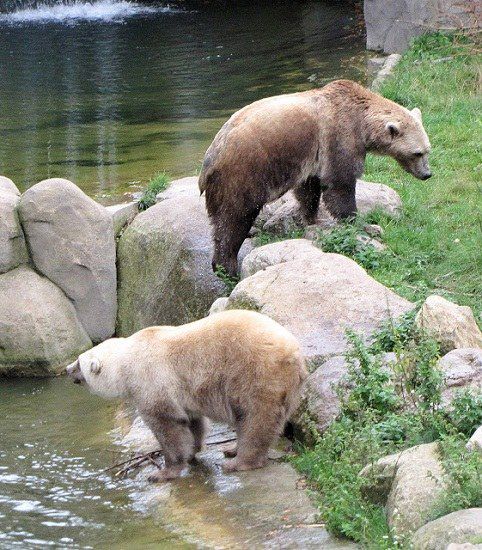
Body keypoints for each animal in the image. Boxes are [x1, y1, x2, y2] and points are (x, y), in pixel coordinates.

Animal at [66, 310, 306, 484]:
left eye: (79, 362)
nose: (67, 370)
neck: (127, 361)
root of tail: (295, 353)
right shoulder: (183, 391)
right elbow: (192, 421)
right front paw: (193, 450)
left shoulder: (151, 379)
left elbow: (167, 424)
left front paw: (161, 473)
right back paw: (232, 450)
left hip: (255, 372)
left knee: (255, 417)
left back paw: (239, 461)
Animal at [198, 78, 432, 276]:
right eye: (417, 153)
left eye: (428, 150)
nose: (427, 174)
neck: (362, 121)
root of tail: (210, 157)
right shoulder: (339, 136)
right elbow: (340, 183)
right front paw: (361, 222)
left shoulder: (311, 155)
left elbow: (309, 188)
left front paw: (312, 218)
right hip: (243, 172)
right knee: (235, 217)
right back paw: (227, 266)